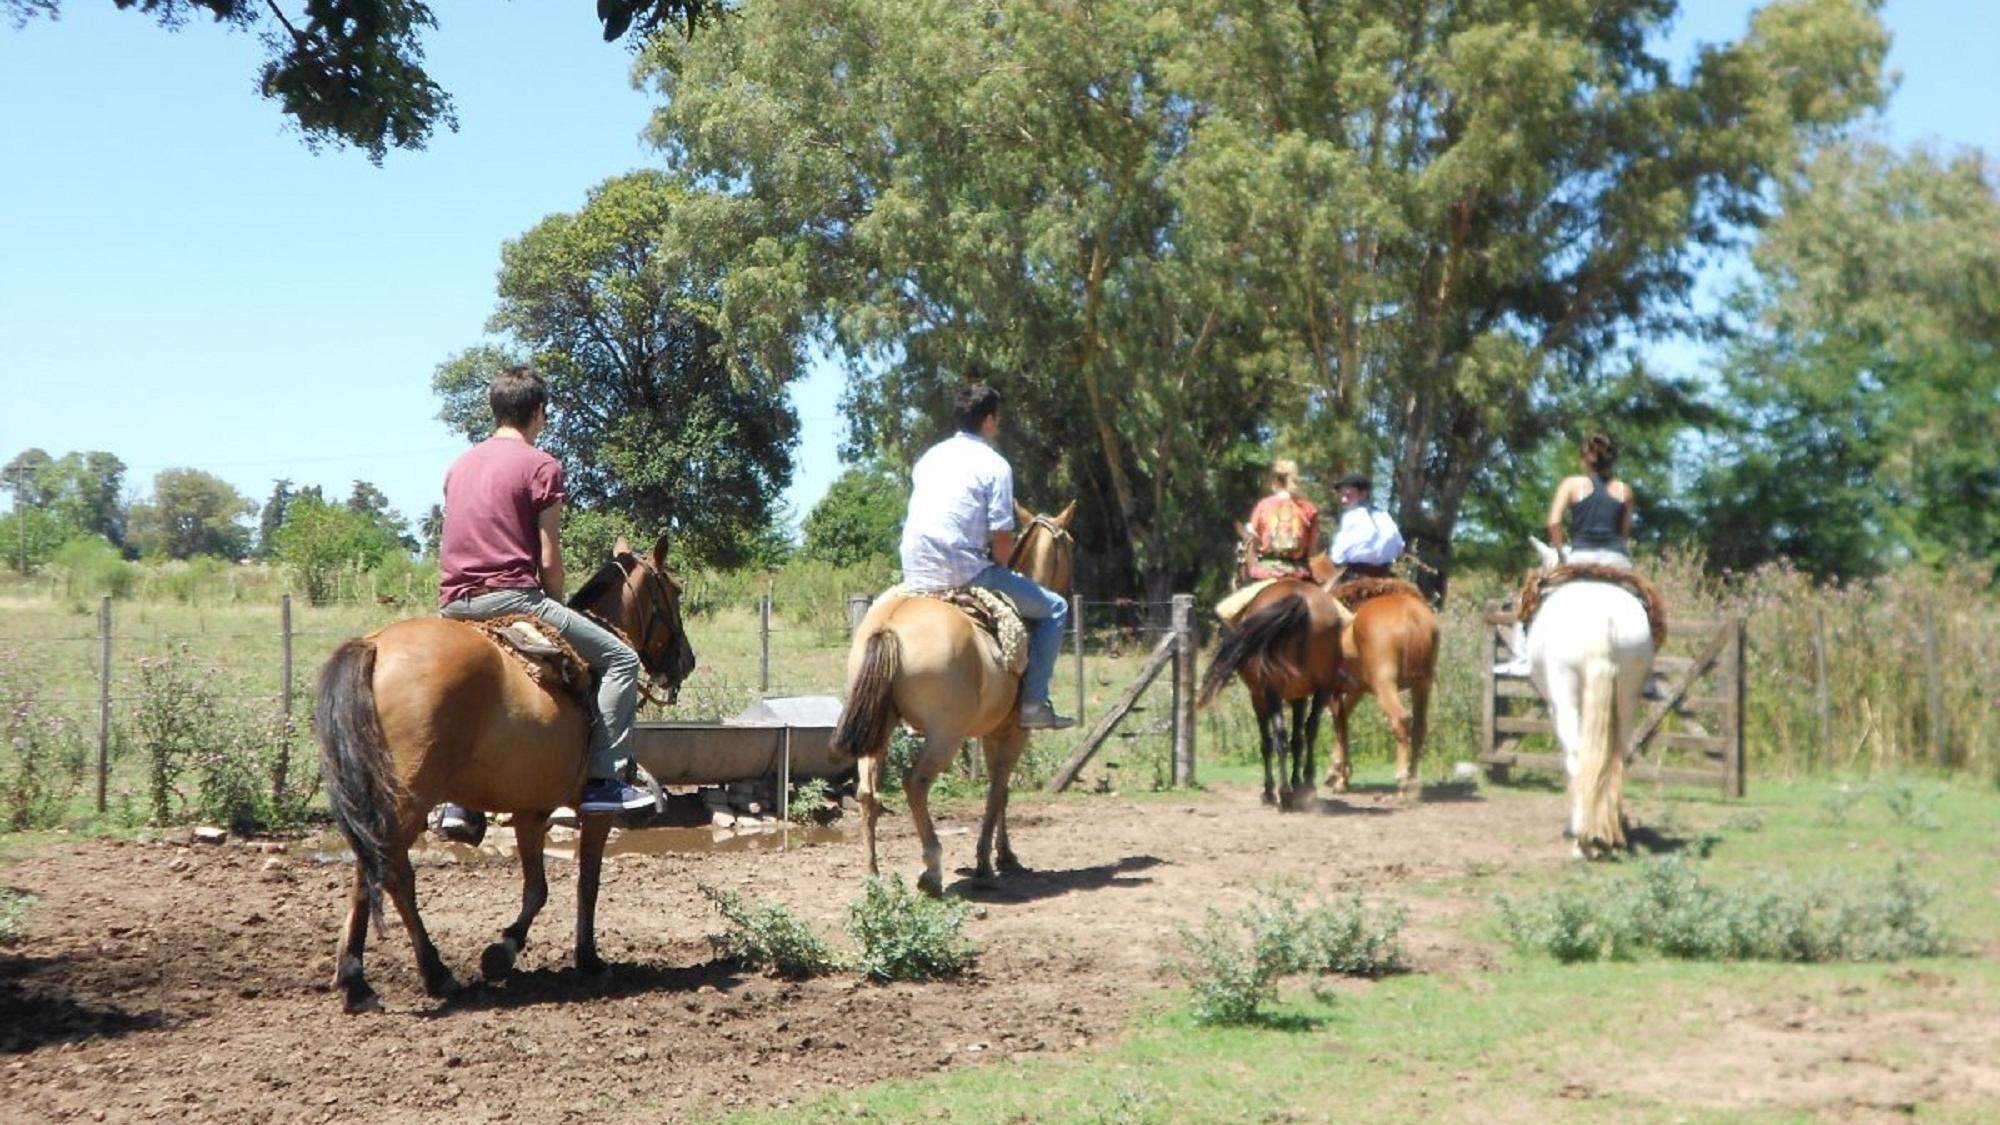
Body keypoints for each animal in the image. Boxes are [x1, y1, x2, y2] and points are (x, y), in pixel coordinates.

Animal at [308, 532, 692, 1008]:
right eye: (675, 590)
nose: (687, 660)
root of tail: (375, 646)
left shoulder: (529, 811)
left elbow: (537, 887)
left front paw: (503, 950)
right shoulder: (593, 813)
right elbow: (587, 881)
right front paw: (587, 958)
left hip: (379, 798)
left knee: (369, 872)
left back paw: (355, 980)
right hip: (407, 800)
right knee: (395, 876)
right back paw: (434, 974)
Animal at [828, 498, 1080, 892]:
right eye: (1071, 545)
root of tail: (889, 625)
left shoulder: (993, 731)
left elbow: (1001, 790)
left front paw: (1004, 855)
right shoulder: (1014, 731)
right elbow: (998, 788)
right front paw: (987, 861)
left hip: (878, 728)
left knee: (867, 792)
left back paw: (873, 875)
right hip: (945, 735)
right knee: (915, 783)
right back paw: (931, 869)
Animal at [1192, 576, 1352, 804]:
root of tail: (1299, 600)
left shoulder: (1258, 696)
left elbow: (1266, 741)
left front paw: (1270, 790)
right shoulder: (1299, 696)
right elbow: (1297, 739)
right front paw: (1297, 782)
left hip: (1271, 690)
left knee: (1278, 735)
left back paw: (1283, 792)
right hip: (1322, 688)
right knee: (1309, 730)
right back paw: (1307, 785)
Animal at [1320, 576, 1448, 796]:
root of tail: (1411, 615)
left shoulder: (1334, 691)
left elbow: (1340, 725)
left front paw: (1339, 777)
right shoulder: (1356, 690)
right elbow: (1343, 723)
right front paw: (1340, 775)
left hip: (1385, 685)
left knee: (1401, 719)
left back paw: (1402, 778)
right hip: (1423, 684)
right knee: (1420, 727)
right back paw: (1412, 779)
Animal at [1528, 540, 1656, 852]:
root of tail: (1603, 619)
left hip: (1566, 694)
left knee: (1578, 753)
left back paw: (1581, 837)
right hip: (1627, 695)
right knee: (1617, 755)